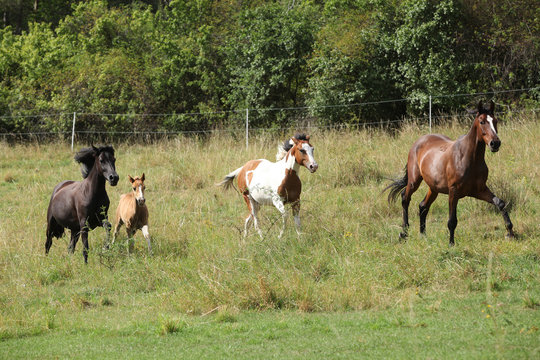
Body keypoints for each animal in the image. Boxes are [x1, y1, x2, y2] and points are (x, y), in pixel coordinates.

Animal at [384, 102, 516, 248]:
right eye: (482, 121)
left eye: (495, 121)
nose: (495, 143)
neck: (469, 158)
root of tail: (418, 142)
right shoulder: (454, 192)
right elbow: (452, 220)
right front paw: (451, 244)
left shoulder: (479, 190)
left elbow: (500, 203)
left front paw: (510, 232)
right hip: (414, 181)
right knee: (405, 198)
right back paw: (404, 233)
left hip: (433, 188)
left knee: (423, 206)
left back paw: (423, 235)